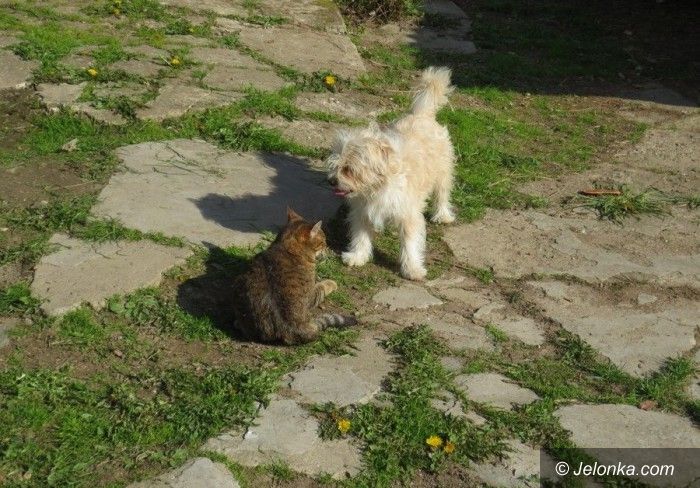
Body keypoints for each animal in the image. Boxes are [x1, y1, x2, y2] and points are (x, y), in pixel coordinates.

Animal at [232, 207, 357, 345]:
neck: (286, 247)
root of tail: (292, 329)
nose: (327, 248)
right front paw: (331, 283)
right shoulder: (312, 295)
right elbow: (322, 286)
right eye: (323, 242)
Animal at [327, 67, 455, 281]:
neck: (379, 187)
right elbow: (361, 235)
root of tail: (423, 115)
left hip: (442, 173)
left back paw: (442, 215)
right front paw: (357, 256)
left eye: (349, 170)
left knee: (442, 195)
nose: (331, 181)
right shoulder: (362, 212)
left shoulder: (408, 215)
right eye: (335, 166)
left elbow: (410, 244)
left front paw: (412, 269)